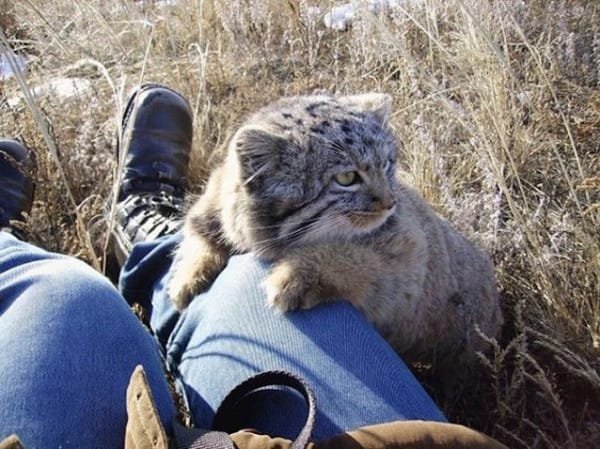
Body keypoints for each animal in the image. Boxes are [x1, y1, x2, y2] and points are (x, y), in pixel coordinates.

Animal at [169, 93, 502, 372]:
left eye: (386, 164)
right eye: (347, 178)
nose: (390, 202)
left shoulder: (409, 255)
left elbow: (351, 255)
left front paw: (295, 275)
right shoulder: (215, 199)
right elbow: (197, 230)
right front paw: (187, 277)